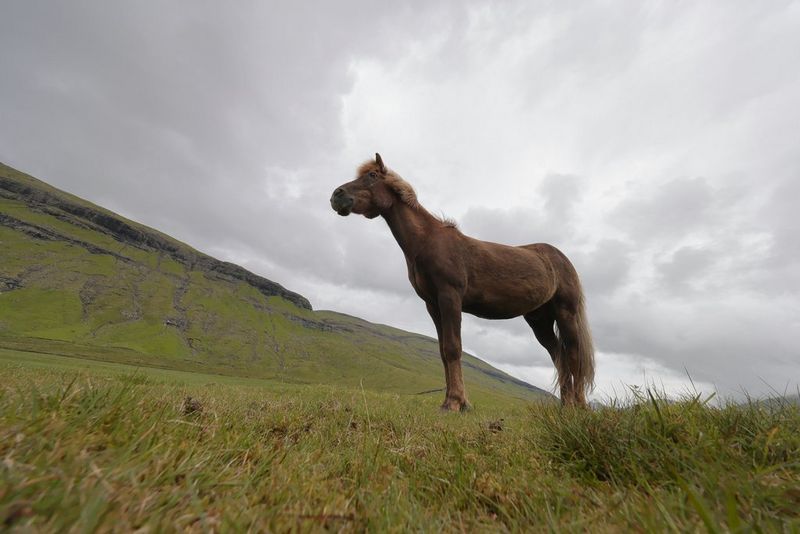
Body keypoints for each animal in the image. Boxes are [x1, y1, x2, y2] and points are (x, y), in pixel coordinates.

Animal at [330, 154, 594, 410]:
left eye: (372, 176)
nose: (336, 196)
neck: (428, 242)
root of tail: (560, 258)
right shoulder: (433, 305)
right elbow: (443, 352)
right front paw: (456, 400)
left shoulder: (450, 298)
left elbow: (453, 348)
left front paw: (454, 402)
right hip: (539, 320)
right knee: (558, 356)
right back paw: (565, 406)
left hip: (565, 313)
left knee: (573, 356)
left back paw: (579, 406)